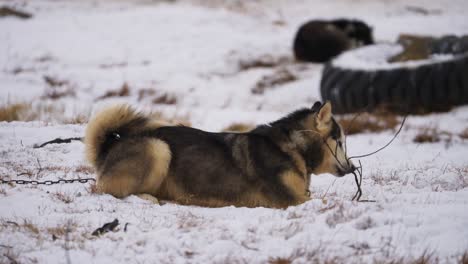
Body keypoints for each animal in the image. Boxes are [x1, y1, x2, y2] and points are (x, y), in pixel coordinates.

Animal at [85, 102, 354, 207]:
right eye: (341, 142)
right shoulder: (291, 200)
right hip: (158, 148)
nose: (352, 168)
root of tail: (110, 146)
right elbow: (325, 200)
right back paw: (149, 198)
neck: (292, 147)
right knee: (109, 190)